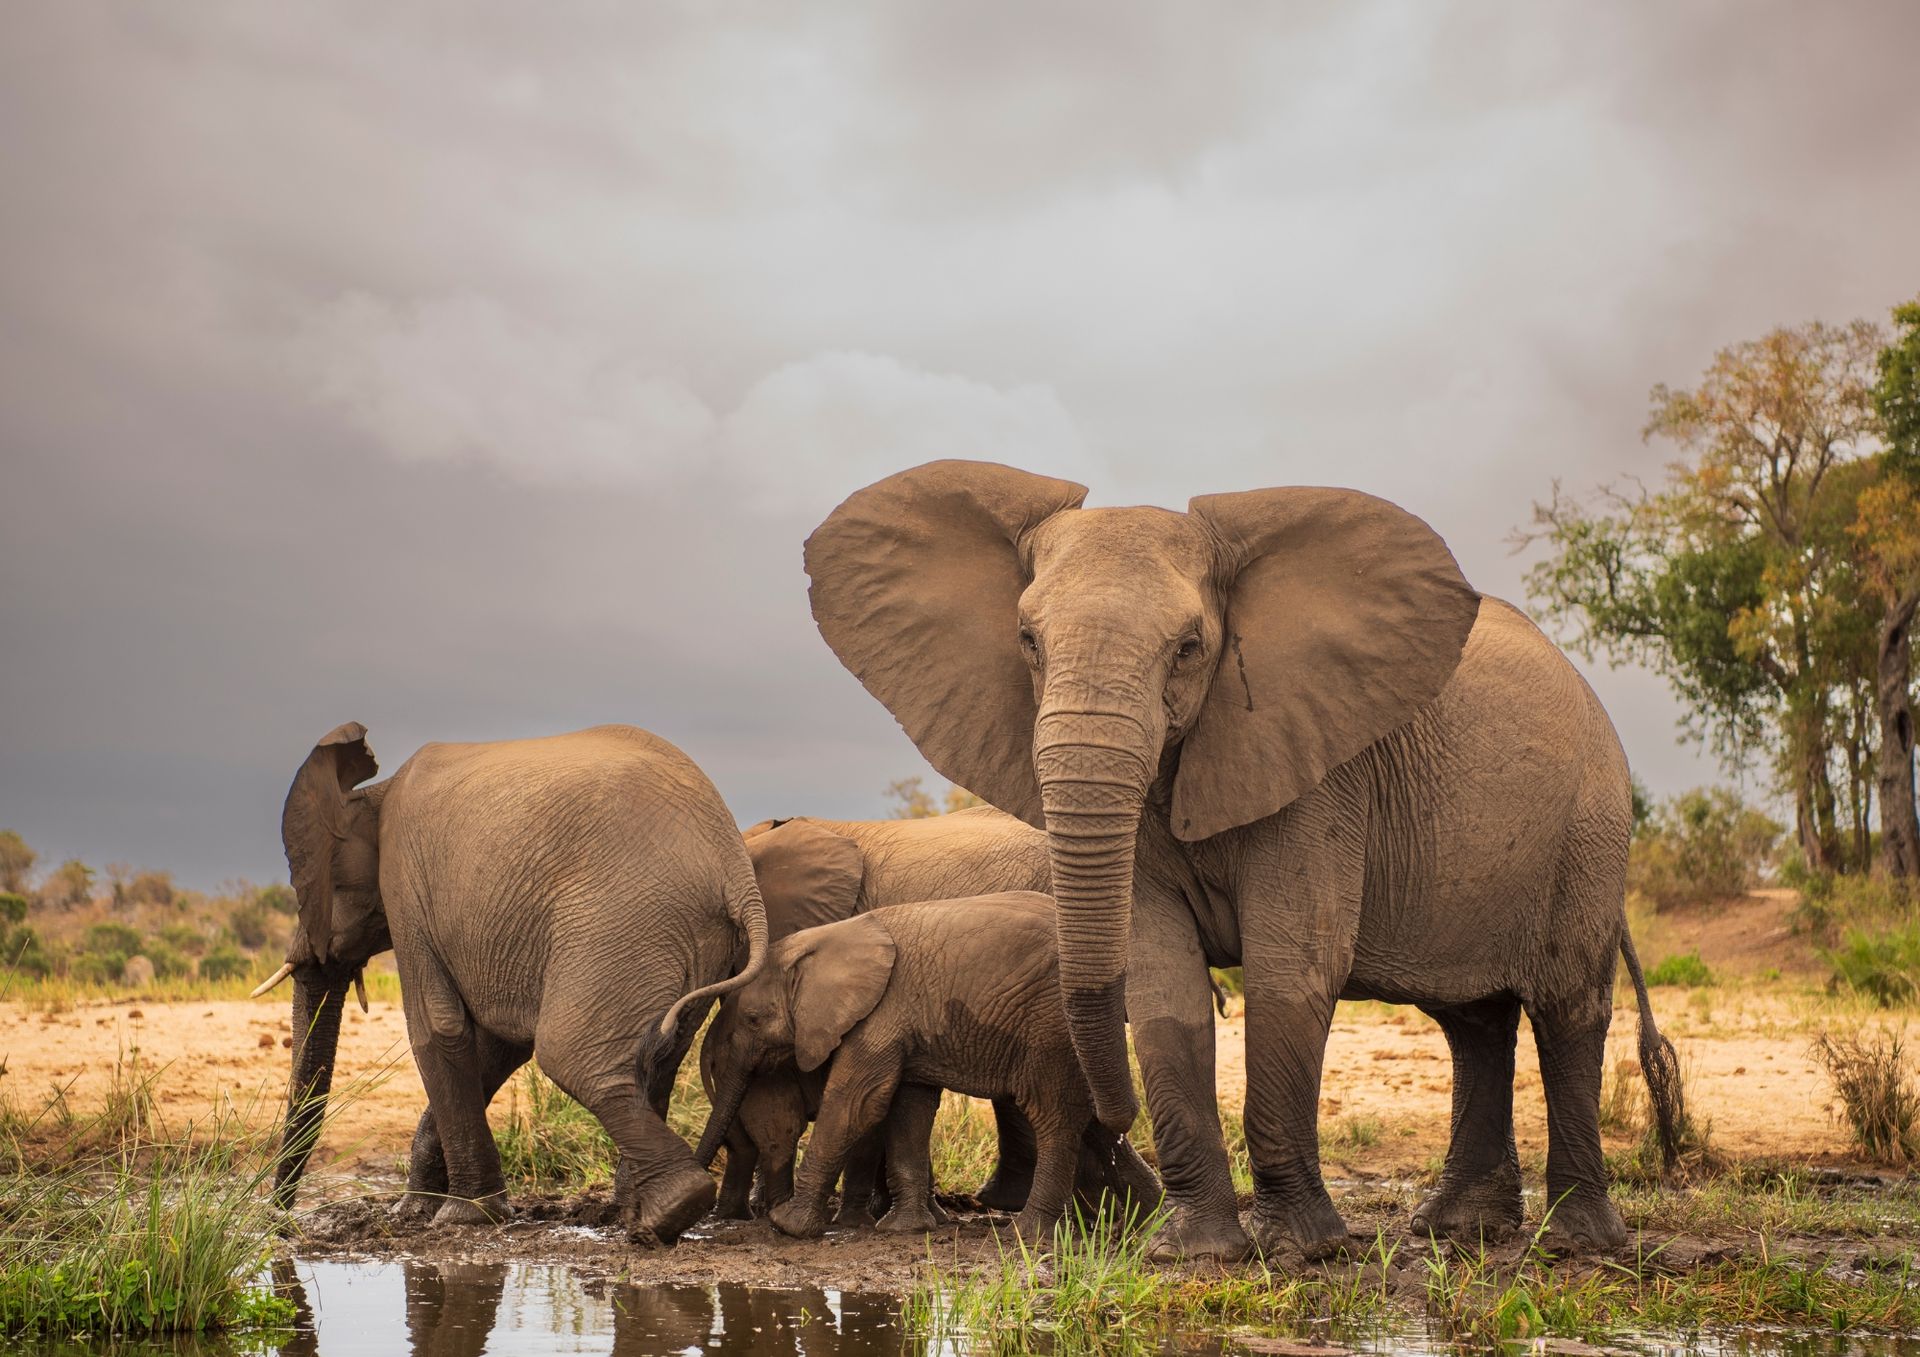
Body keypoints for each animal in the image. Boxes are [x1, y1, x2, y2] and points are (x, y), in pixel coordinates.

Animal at [261, 722, 766, 1245]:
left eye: (306, 887)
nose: (278, 1221)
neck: (371, 793)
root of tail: (736, 872)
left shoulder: (406, 889)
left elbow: (436, 1030)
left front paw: (461, 1216)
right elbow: (497, 1045)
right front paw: (416, 1211)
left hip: (621, 920)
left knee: (570, 1056)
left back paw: (668, 1212)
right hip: (691, 939)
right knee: (659, 1056)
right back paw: (631, 1217)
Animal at [694, 892, 1160, 1242]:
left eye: (753, 1020)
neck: (827, 940)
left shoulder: (881, 1013)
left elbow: (856, 1104)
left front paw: (787, 1225)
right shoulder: (903, 1022)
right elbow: (908, 1109)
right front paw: (908, 1229)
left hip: (1051, 1029)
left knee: (1055, 1116)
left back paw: (1029, 1234)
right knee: (1093, 1120)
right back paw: (1148, 1220)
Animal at [803, 460, 1685, 1262]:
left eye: (1190, 647)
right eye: (1027, 641)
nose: (1112, 1126)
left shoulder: (1321, 773)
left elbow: (1292, 967)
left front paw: (1300, 1250)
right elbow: (1163, 979)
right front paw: (1193, 1252)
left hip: (1589, 826)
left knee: (1566, 1008)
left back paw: (1575, 1243)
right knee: (1475, 1021)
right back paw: (1454, 1230)